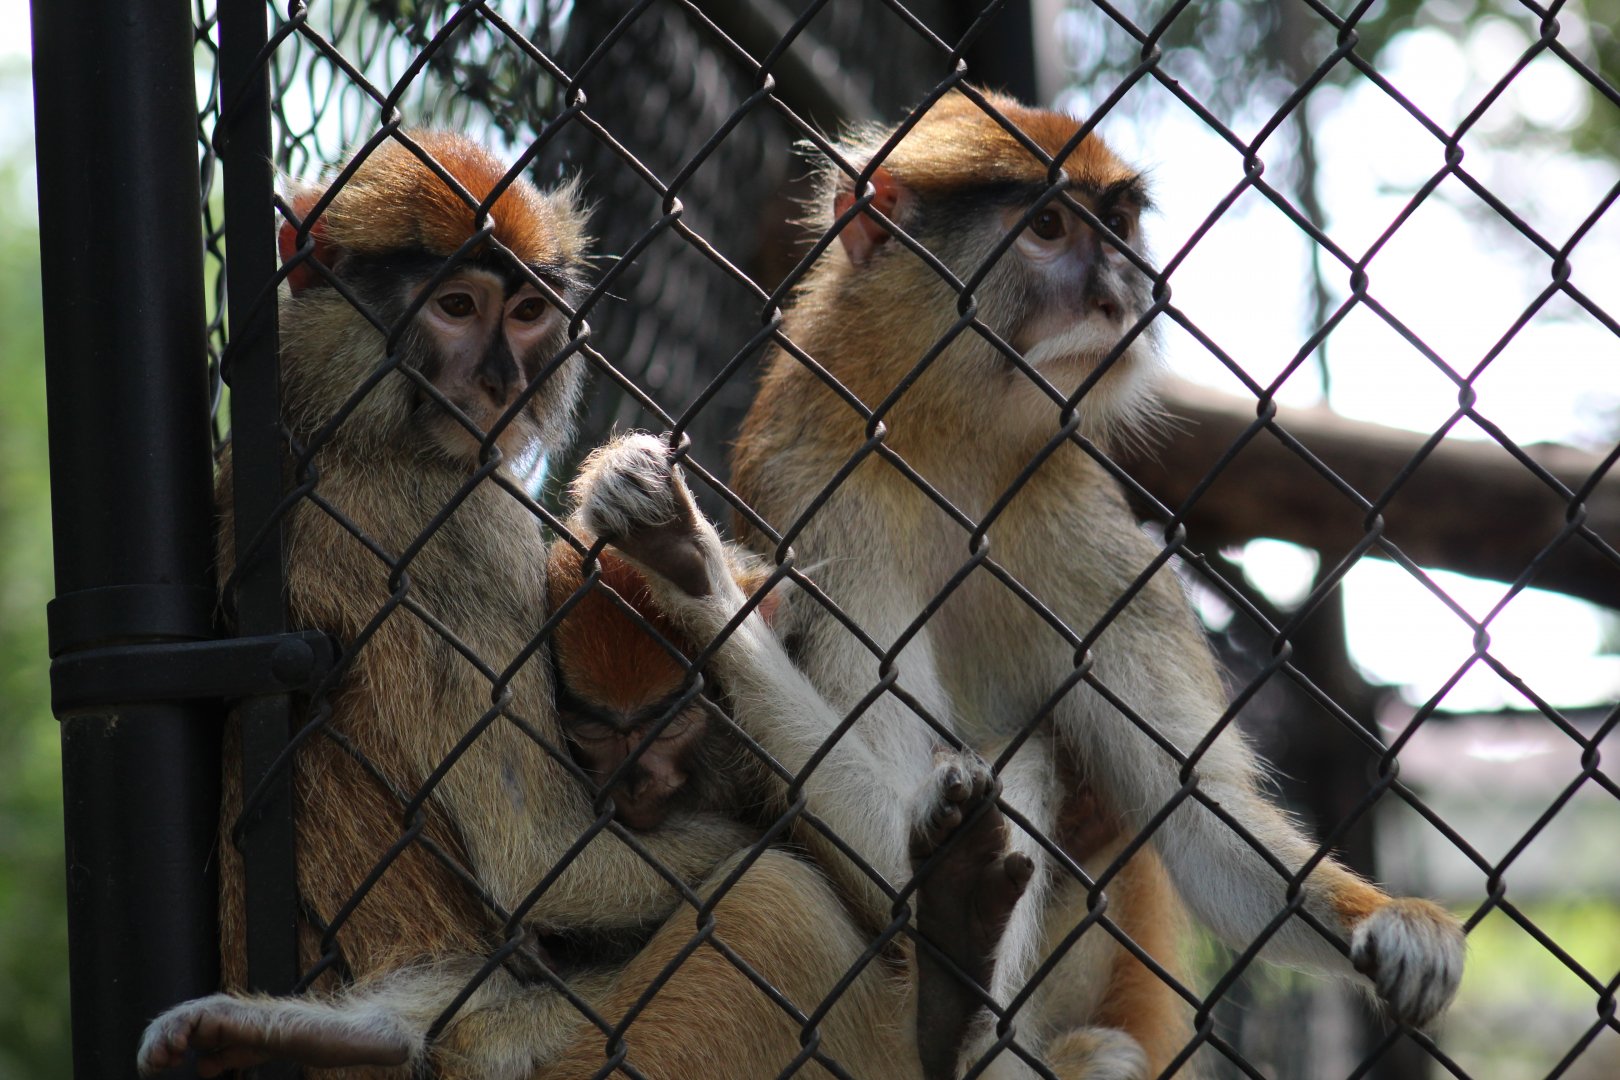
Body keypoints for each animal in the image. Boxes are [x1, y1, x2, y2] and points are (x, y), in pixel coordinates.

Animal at [711, 87, 1468, 1078]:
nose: (1123, 294)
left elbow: (1201, 819)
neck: (952, 431)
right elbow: (882, 804)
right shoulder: (817, 484)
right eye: (1046, 227)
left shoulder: (1086, 520)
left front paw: (1397, 927)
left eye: (1117, 225)